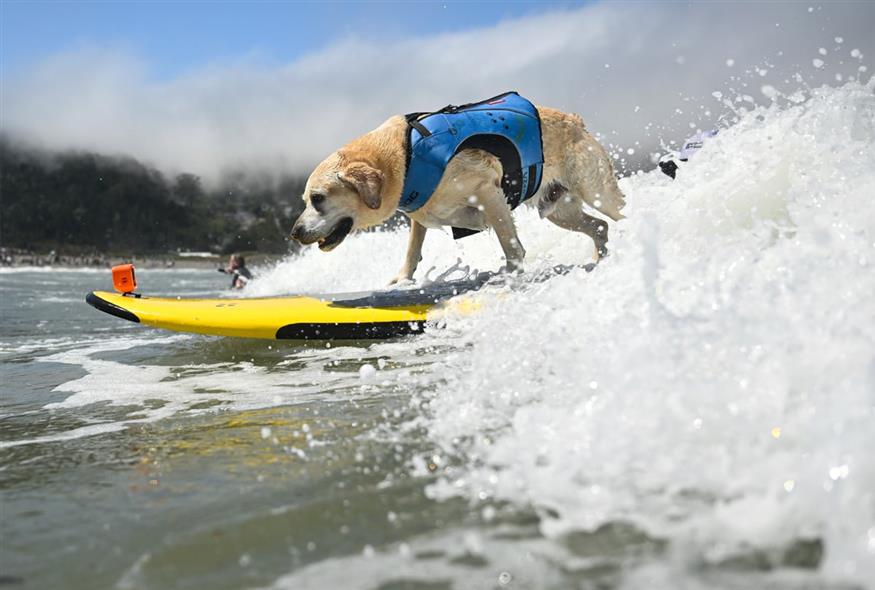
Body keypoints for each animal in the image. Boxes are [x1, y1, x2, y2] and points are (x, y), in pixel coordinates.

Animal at [290, 94, 628, 284]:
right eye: (306, 200)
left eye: (318, 199)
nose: (295, 233)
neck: (406, 155)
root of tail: (576, 120)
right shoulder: (420, 211)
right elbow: (413, 247)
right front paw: (403, 279)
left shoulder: (487, 190)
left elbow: (510, 243)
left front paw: (509, 274)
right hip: (560, 211)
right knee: (599, 226)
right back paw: (600, 260)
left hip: (597, 191)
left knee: (618, 215)